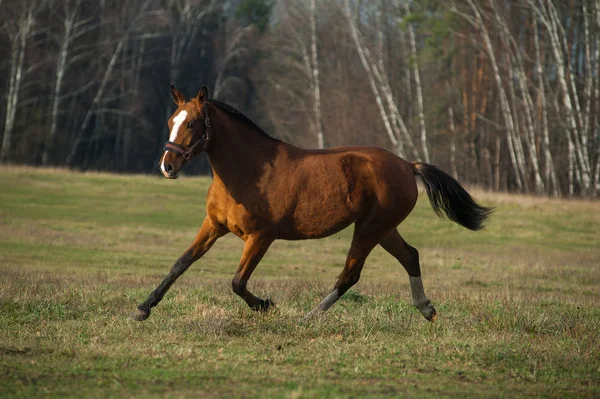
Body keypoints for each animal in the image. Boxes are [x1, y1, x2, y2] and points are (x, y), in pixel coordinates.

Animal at [129, 86, 490, 324]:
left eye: (192, 123)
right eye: (171, 121)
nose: (168, 166)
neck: (248, 170)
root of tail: (407, 165)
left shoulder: (260, 237)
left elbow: (237, 282)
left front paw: (267, 305)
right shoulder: (214, 226)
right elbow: (180, 264)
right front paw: (143, 308)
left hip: (370, 229)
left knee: (350, 274)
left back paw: (307, 317)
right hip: (384, 229)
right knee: (410, 256)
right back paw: (426, 309)